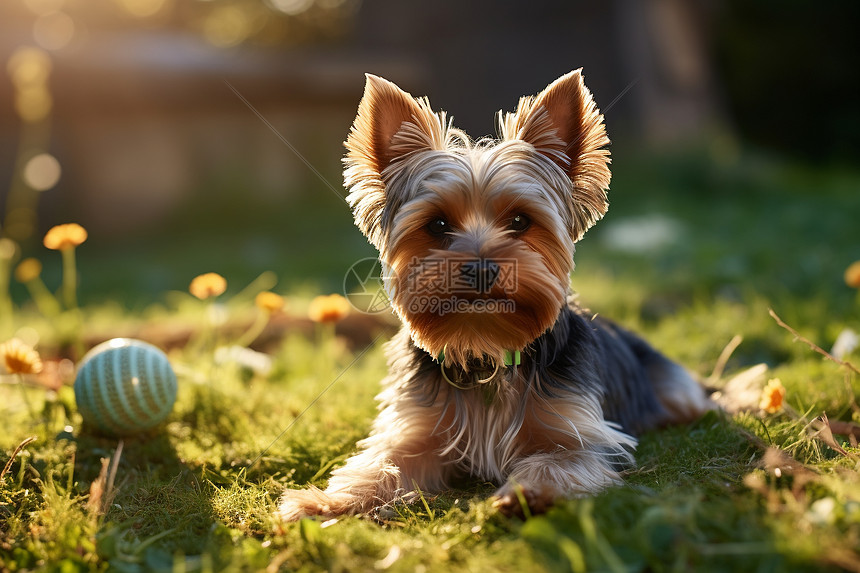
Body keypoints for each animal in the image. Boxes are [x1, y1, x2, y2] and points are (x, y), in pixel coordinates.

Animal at [278, 68, 712, 520]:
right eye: (437, 225)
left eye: (520, 220)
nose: (482, 267)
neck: (485, 346)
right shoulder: (418, 429)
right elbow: (381, 463)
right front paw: (326, 501)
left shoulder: (581, 433)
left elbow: (559, 459)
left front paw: (527, 492)